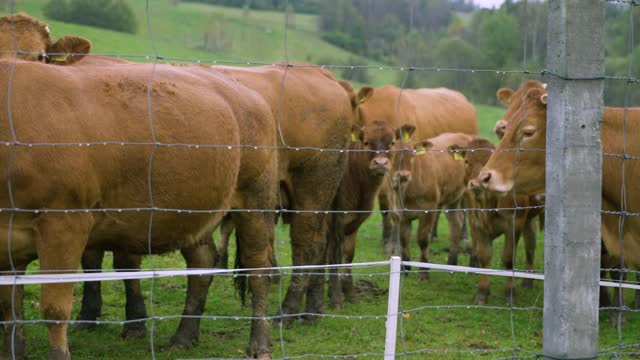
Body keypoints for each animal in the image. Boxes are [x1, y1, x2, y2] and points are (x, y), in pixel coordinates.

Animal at [1, 59, 278, 360]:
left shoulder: (64, 224)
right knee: (202, 263)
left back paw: (259, 344)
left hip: (255, 199)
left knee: (257, 269)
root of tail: (242, 88)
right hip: (194, 212)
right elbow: (9, 307)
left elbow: (54, 309)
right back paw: (184, 336)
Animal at [462, 137, 536, 304]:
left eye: (488, 160)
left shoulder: (515, 223)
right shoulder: (478, 224)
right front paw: (482, 293)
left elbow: (508, 258)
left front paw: (510, 293)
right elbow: (485, 257)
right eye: (466, 161)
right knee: (530, 244)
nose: (475, 184)